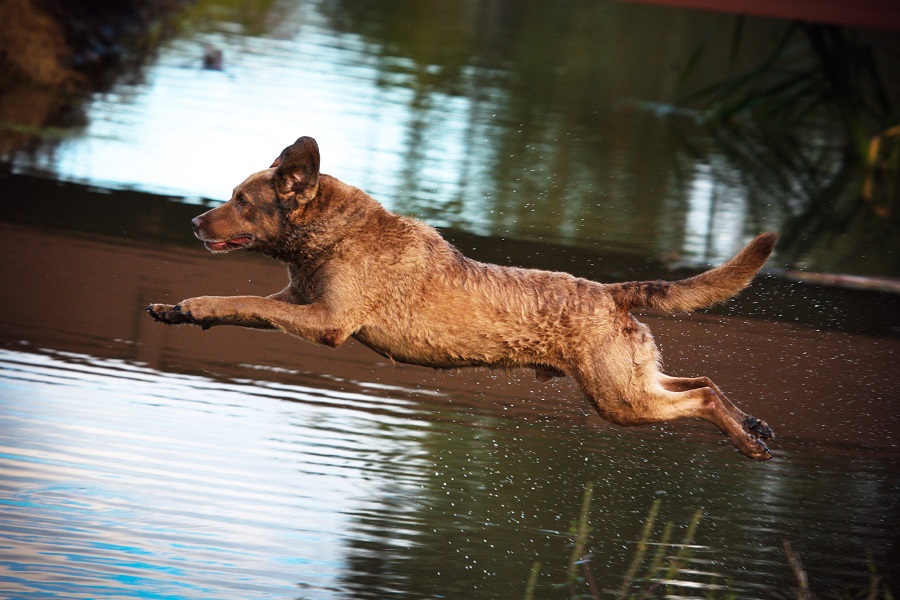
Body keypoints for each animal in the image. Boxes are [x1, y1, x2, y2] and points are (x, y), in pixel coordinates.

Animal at [144, 136, 776, 462]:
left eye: (241, 201)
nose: (194, 221)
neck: (331, 236)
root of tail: (613, 292)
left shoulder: (325, 321)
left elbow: (243, 301)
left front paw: (193, 306)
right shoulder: (297, 299)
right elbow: (243, 304)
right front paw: (176, 309)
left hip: (620, 399)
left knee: (700, 397)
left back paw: (748, 441)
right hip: (629, 380)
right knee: (703, 382)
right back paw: (753, 426)